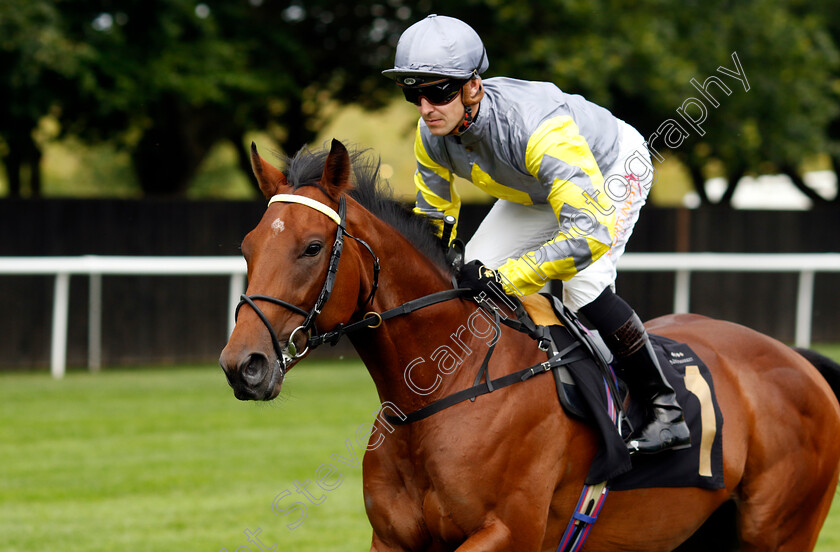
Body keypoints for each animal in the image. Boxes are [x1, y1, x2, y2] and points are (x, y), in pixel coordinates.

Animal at [218, 140, 840, 548]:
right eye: (248, 247)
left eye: (312, 247)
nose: (242, 365)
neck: (443, 388)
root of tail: (798, 360)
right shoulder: (393, 539)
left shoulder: (506, 532)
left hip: (780, 533)